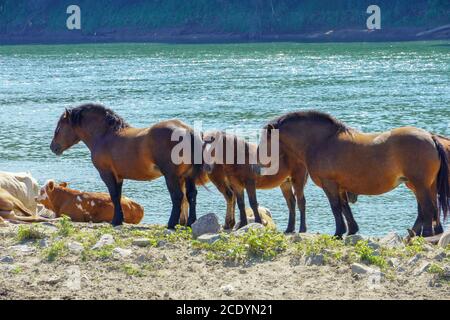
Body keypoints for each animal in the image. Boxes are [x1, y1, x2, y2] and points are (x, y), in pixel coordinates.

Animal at [49, 104, 206, 229]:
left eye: (59, 128)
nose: (53, 147)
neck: (105, 135)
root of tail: (187, 130)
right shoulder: (119, 176)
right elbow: (118, 196)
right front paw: (119, 219)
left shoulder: (106, 173)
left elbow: (113, 195)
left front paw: (115, 220)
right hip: (188, 175)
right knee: (191, 195)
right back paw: (191, 222)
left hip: (171, 176)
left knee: (178, 196)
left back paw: (171, 224)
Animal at [258, 110, 448, 238]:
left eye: (265, 140)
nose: (260, 160)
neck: (322, 142)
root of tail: (431, 137)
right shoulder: (341, 186)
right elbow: (344, 207)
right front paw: (351, 230)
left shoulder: (329, 184)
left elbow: (335, 207)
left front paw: (338, 232)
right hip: (426, 185)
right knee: (430, 208)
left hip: (420, 184)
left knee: (428, 208)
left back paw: (426, 234)